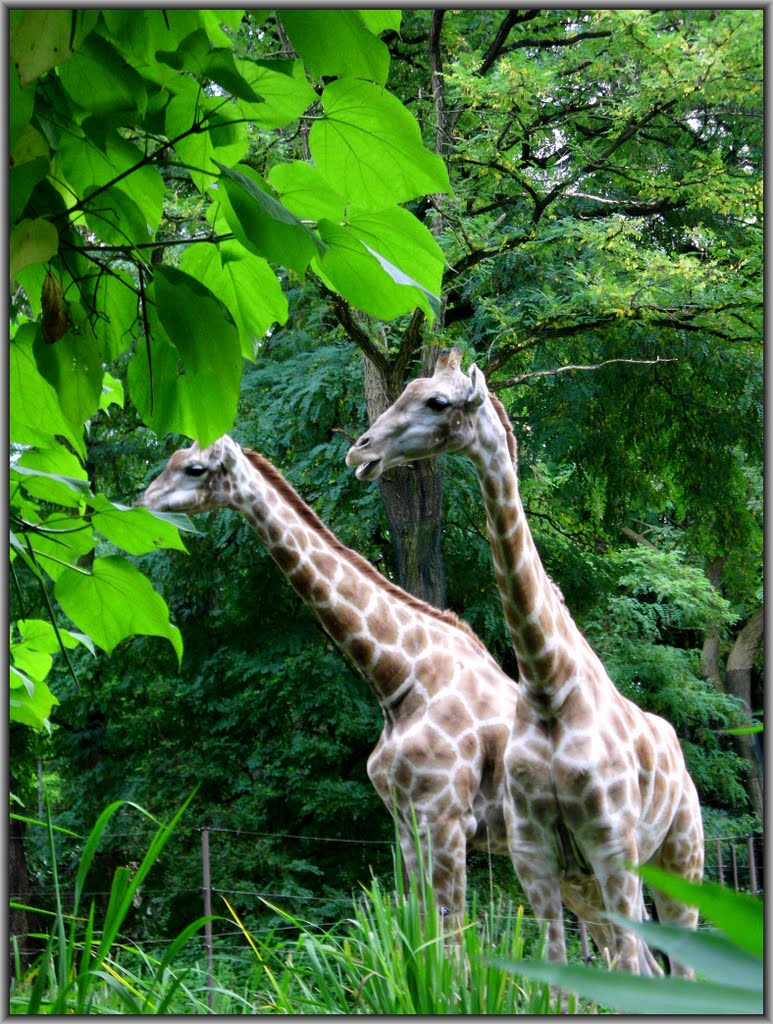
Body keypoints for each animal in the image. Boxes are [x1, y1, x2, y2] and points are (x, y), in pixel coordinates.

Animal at [135, 436, 516, 933]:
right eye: (171, 460)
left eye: (195, 469)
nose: (142, 503)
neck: (400, 678)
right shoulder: (407, 822)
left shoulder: (446, 818)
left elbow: (450, 937)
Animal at [348, 350, 704, 974]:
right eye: (407, 389)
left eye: (437, 401)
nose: (361, 451)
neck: (549, 686)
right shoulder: (535, 853)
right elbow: (557, 971)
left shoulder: (612, 846)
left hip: (678, 857)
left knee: (670, 967)